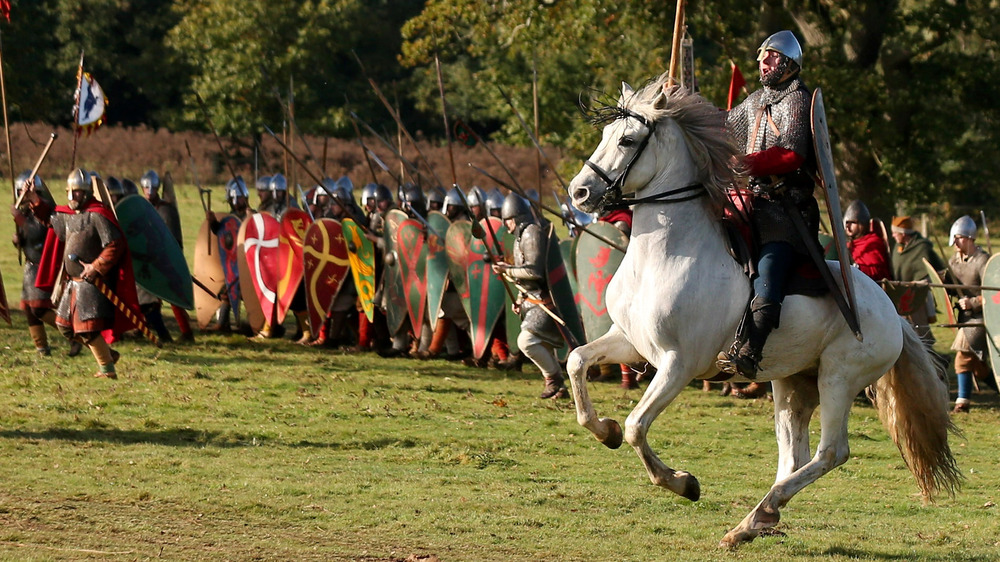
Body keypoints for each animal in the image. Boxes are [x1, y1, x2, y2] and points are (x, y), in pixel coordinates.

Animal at [568, 75, 956, 548]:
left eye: (627, 139)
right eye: (605, 134)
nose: (580, 192)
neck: (667, 253)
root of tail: (891, 312)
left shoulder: (678, 364)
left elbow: (636, 426)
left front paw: (683, 483)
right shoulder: (631, 344)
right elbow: (577, 362)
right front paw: (601, 429)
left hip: (839, 377)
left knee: (831, 452)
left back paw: (759, 514)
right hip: (793, 383)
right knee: (794, 457)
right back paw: (755, 520)